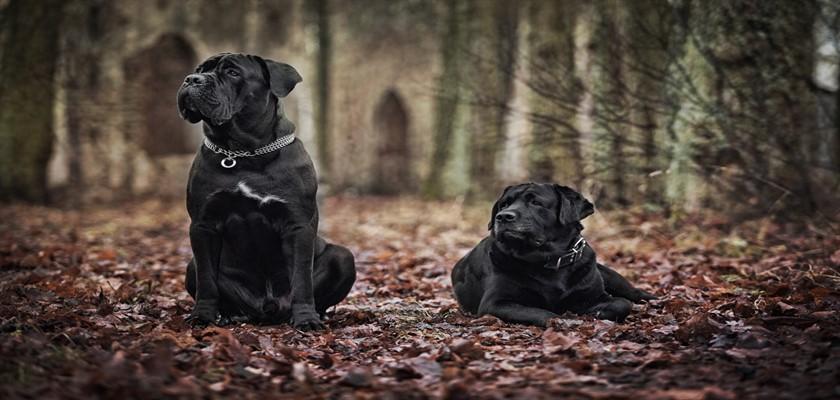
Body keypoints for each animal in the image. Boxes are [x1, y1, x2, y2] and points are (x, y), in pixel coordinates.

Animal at [179, 52, 356, 328]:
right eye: (199, 70)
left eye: (232, 72)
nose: (191, 79)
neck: (242, 152)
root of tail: (266, 309)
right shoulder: (203, 224)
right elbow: (207, 280)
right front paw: (202, 316)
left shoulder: (297, 225)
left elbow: (302, 279)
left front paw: (306, 319)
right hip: (191, 267)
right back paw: (228, 315)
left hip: (343, 257)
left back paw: (315, 314)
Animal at [452, 183, 656, 326]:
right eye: (504, 204)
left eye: (535, 202)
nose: (503, 216)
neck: (549, 261)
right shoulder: (495, 303)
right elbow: (540, 312)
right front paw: (563, 320)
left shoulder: (595, 295)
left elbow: (622, 304)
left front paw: (597, 312)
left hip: (610, 275)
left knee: (633, 293)